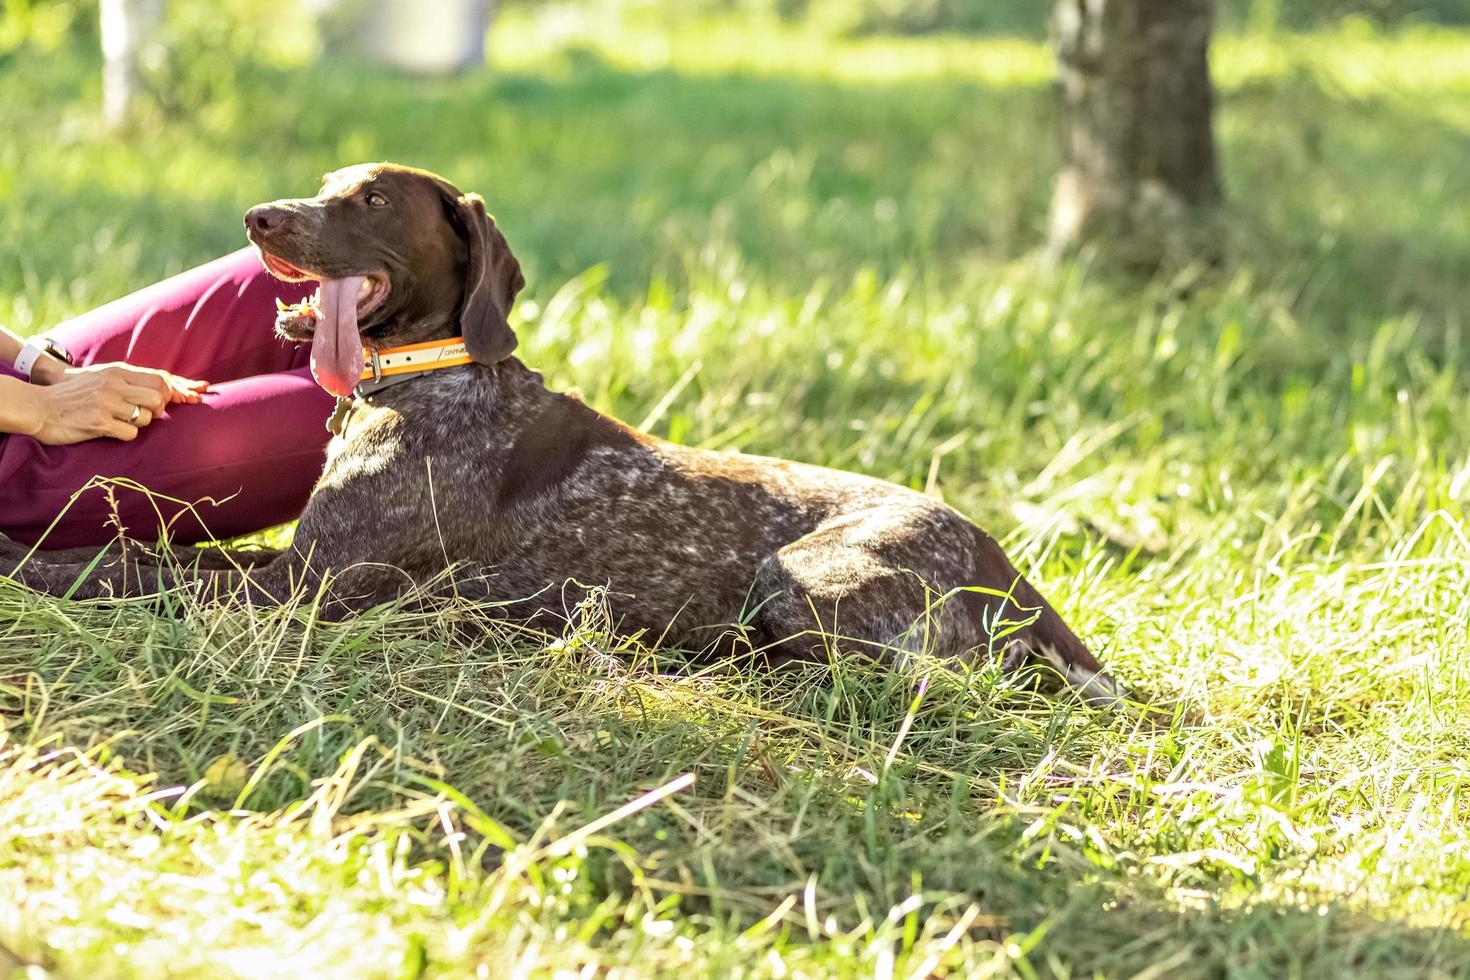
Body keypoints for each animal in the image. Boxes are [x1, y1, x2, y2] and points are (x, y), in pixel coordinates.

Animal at [0, 164, 1117, 705]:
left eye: (374, 198)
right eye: (320, 185)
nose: (260, 218)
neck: (432, 379)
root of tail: (1004, 563)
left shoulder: (296, 591)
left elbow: (133, 566)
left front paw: (31, 562)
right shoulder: (299, 566)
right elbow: (156, 556)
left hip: (801, 575)